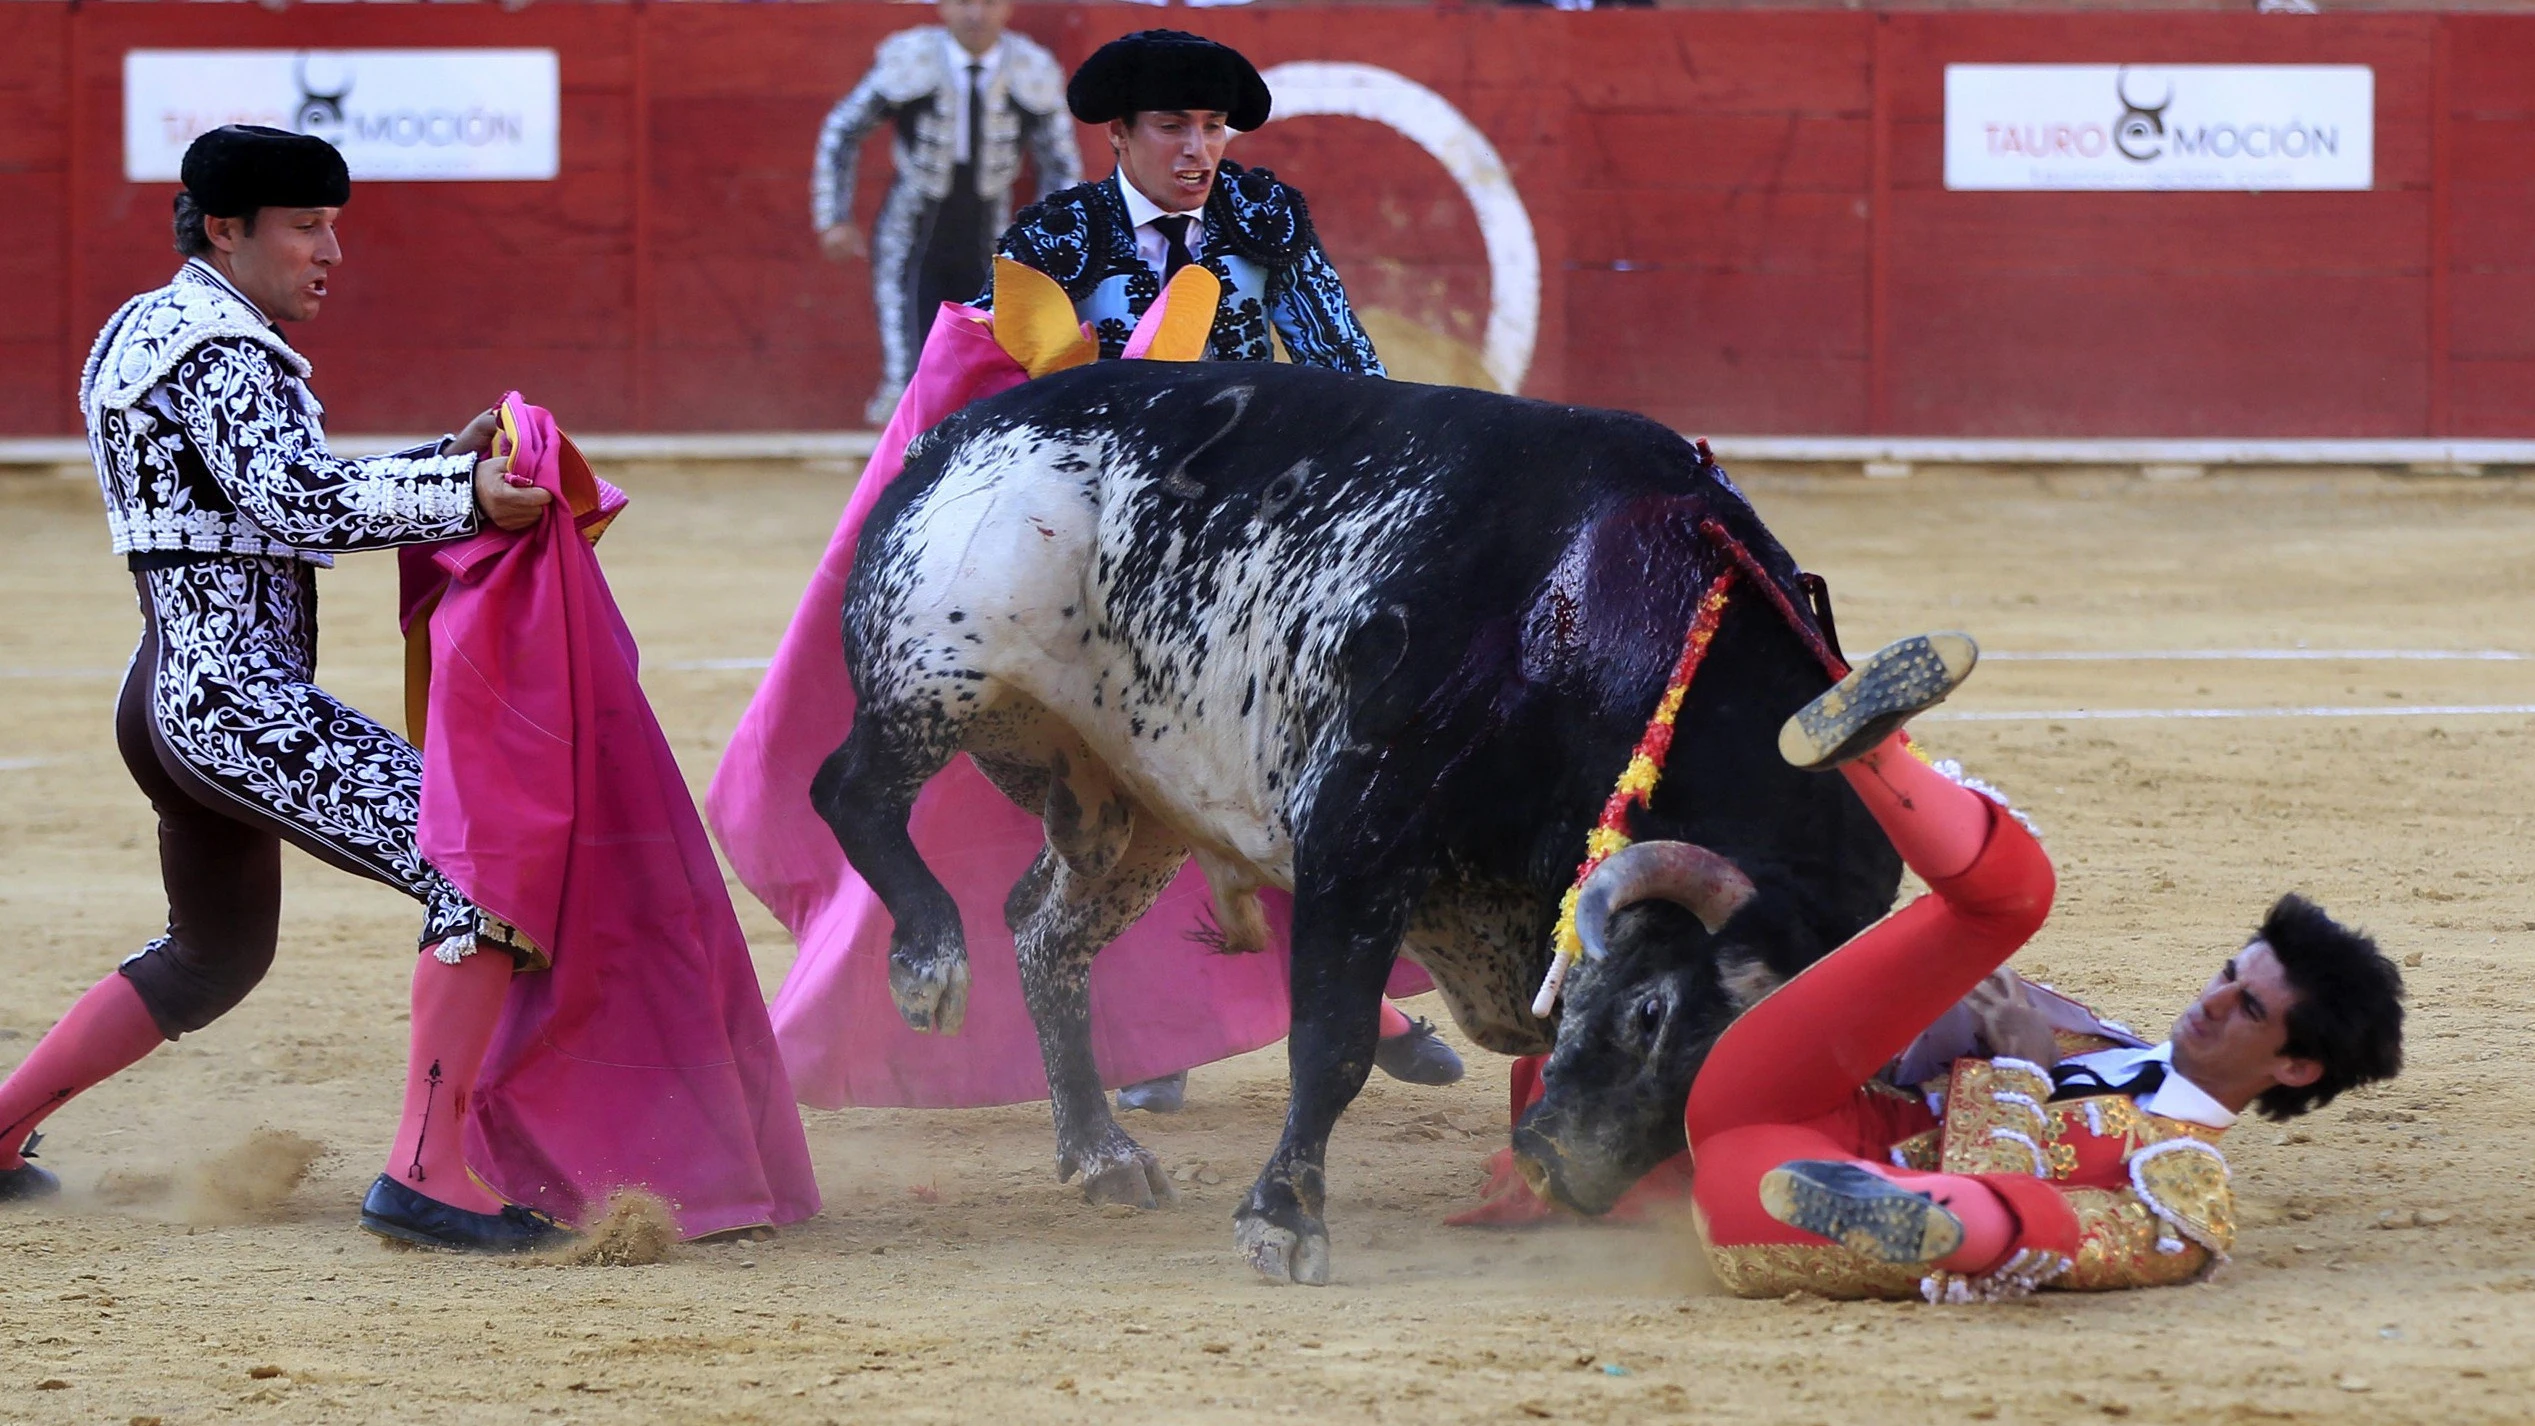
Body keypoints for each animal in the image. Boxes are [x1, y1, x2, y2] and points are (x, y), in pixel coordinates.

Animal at [816, 357, 1906, 1281]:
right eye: (1650, 1013)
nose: (1563, 1174)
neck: (1601, 606)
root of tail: (956, 431)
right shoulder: (1359, 824)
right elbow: (1331, 1041)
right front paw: (1283, 1220)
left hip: (1131, 807)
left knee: (1046, 934)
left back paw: (1101, 1154)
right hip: (936, 671)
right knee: (850, 792)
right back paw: (927, 965)